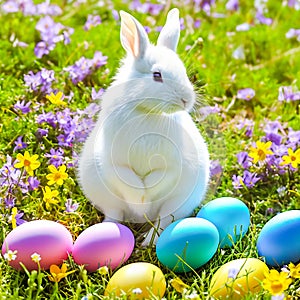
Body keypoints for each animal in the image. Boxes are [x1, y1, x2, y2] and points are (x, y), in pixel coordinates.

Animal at [78, 8, 210, 245]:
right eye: (157, 75)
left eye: (184, 72)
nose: (187, 100)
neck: (147, 111)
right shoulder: (112, 162)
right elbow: (128, 179)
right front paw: (140, 200)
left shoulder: (172, 164)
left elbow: (160, 177)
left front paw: (145, 201)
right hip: (107, 198)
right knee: (115, 214)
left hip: (177, 203)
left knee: (163, 220)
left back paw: (149, 239)